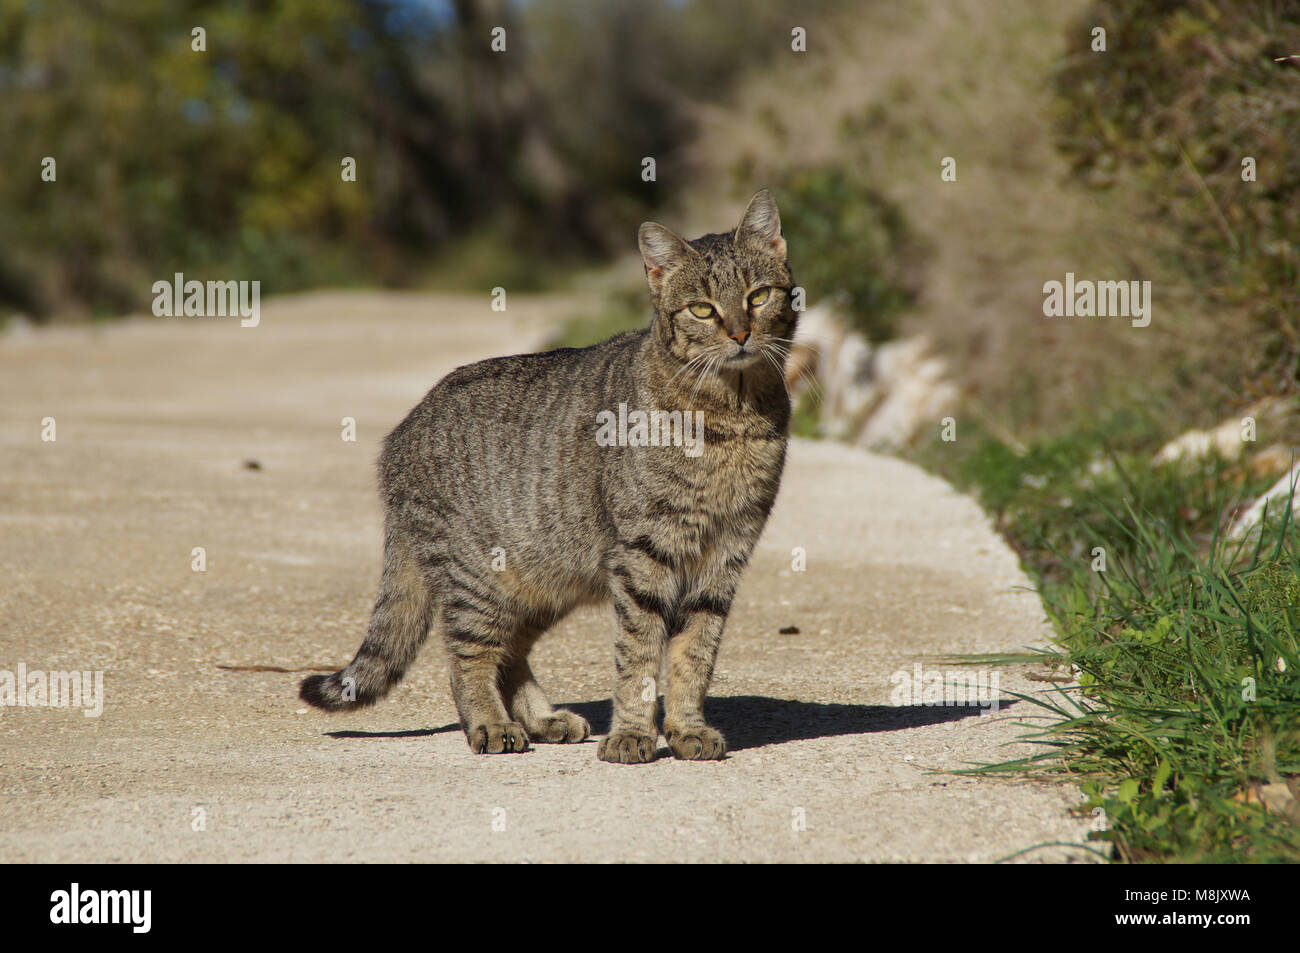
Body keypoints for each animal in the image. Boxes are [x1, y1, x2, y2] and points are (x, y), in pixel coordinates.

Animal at [301, 189, 790, 764]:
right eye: (702, 309)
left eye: (759, 297)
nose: (740, 333)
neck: (732, 417)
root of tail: (400, 434)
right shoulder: (643, 557)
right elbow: (639, 657)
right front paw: (633, 734)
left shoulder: (724, 558)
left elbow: (694, 657)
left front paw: (687, 729)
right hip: (481, 580)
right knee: (467, 657)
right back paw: (492, 724)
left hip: (546, 580)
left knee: (511, 652)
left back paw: (541, 719)